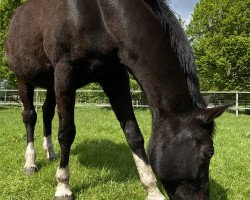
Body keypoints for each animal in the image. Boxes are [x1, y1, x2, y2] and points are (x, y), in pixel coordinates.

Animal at [4, 0, 230, 200]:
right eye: (207, 153)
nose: (204, 198)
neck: (101, 14)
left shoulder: (114, 76)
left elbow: (133, 134)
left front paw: (152, 190)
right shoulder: (65, 72)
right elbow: (66, 132)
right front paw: (63, 186)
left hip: (51, 83)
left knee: (47, 113)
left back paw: (50, 152)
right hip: (23, 78)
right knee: (30, 116)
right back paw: (30, 163)